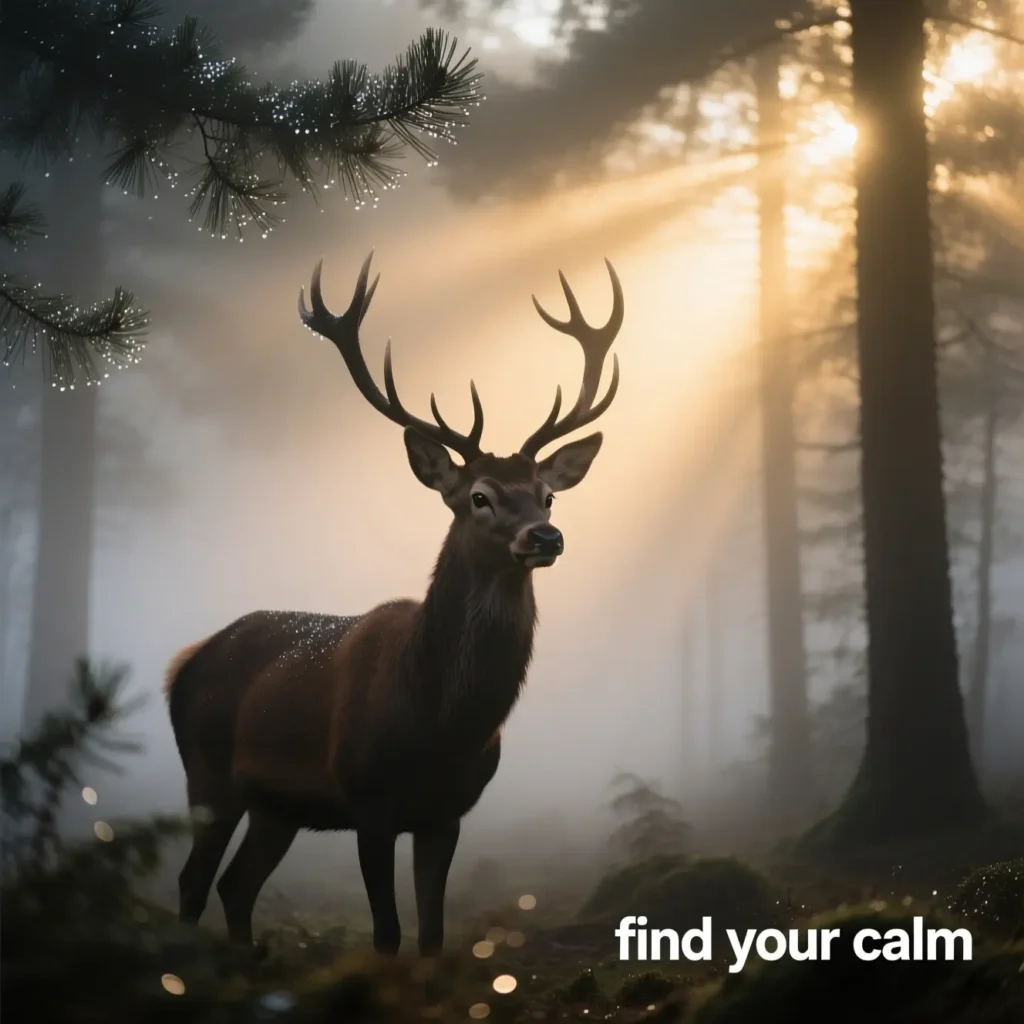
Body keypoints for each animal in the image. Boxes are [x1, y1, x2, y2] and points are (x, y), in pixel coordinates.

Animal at [165, 250, 623, 957]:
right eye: (480, 496)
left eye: (548, 495)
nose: (546, 538)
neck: (440, 723)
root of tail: (182, 663)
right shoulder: (368, 802)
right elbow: (387, 936)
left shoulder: (448, 812)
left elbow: (431, 935)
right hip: (208, 770)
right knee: (192, 881)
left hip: (278, 807)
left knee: (235, 885)